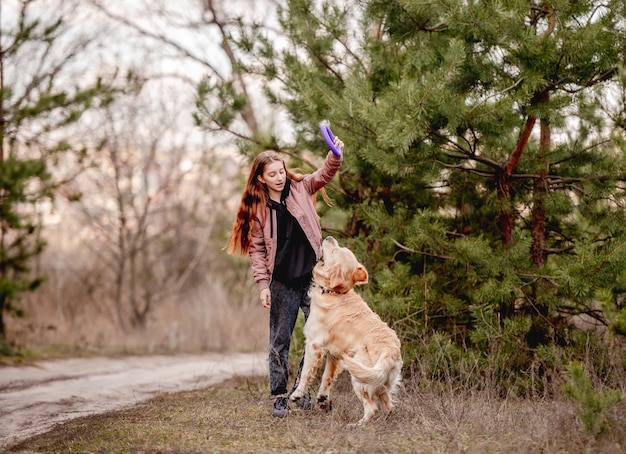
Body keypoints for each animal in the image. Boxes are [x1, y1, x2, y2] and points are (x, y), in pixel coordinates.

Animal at [290, 236, 402, 424]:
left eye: (335, 250)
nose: (329, 237)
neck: (334, 293)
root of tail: (390, 351)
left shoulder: (314, 344)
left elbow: (305, 373)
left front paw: (297, 394)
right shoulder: (334, 354)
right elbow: (326, 377)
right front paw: (322, 398)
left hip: (359, 377)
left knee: (372, 408)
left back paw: (357, 425)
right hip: (380, 383)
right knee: (388, 407)